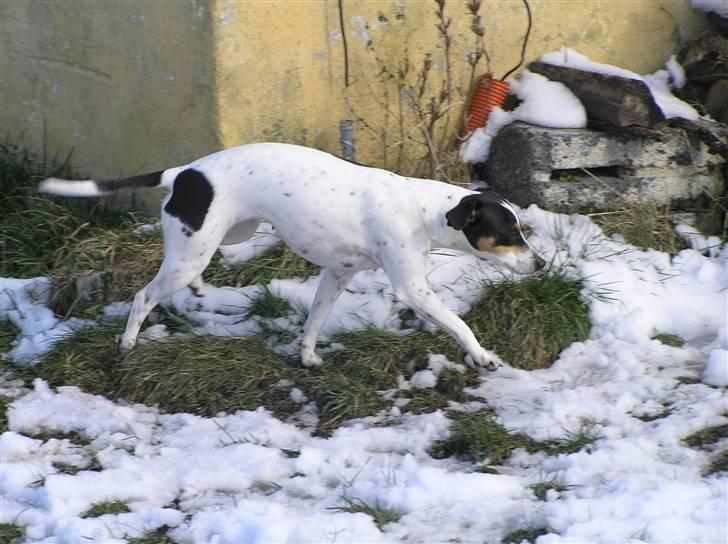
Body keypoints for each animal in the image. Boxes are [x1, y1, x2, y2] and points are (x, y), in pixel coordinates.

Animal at [38, 142, 540, 370]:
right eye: (507, 232)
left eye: (521, 229)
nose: (540, 265)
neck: (421, 209)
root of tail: (184, 173)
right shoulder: (414, 289)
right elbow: (459, 324)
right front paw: (481, 356)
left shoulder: (337, 274)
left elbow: (315, 321)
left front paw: (308, 357)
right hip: (191, 254)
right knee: (144, 297)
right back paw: (127, 343)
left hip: (224, 236)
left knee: (189, 268)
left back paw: (201, 290)